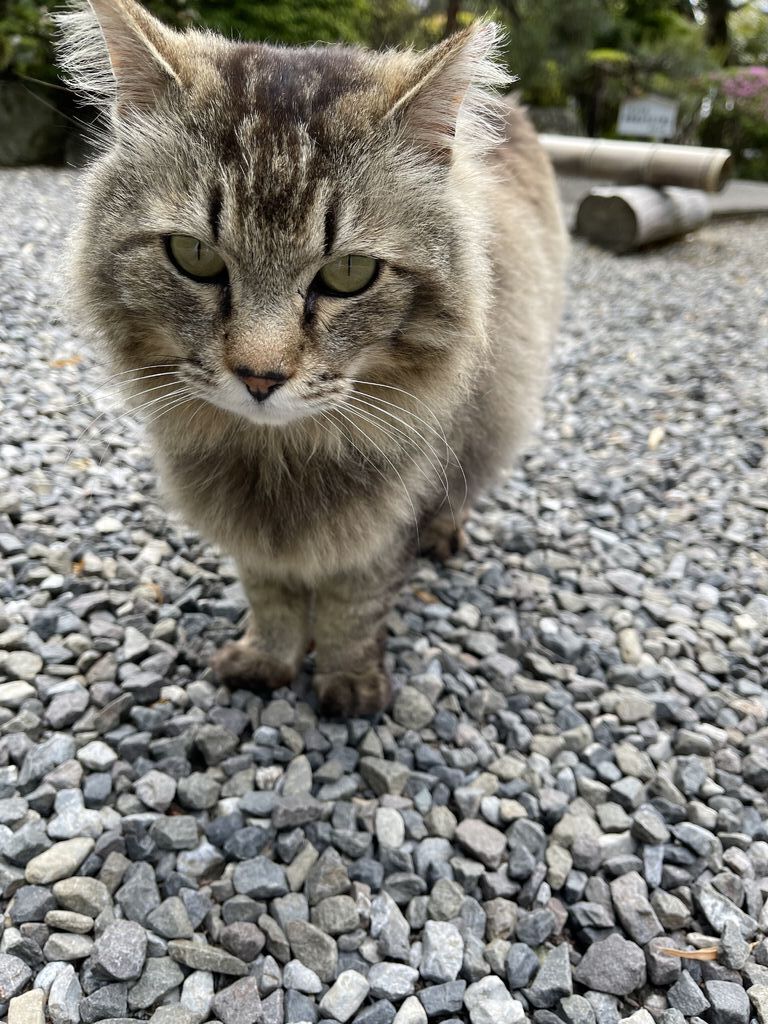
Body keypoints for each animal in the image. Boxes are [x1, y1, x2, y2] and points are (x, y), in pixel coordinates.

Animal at [54, 0, 569, 716]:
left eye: (349, 274)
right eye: (194, 256)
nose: (259, 377)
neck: (282, 457)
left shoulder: (387, 512)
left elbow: (353, 605)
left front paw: (349, 683)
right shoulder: (250, 528)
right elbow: (270, 597)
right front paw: (267, 659)